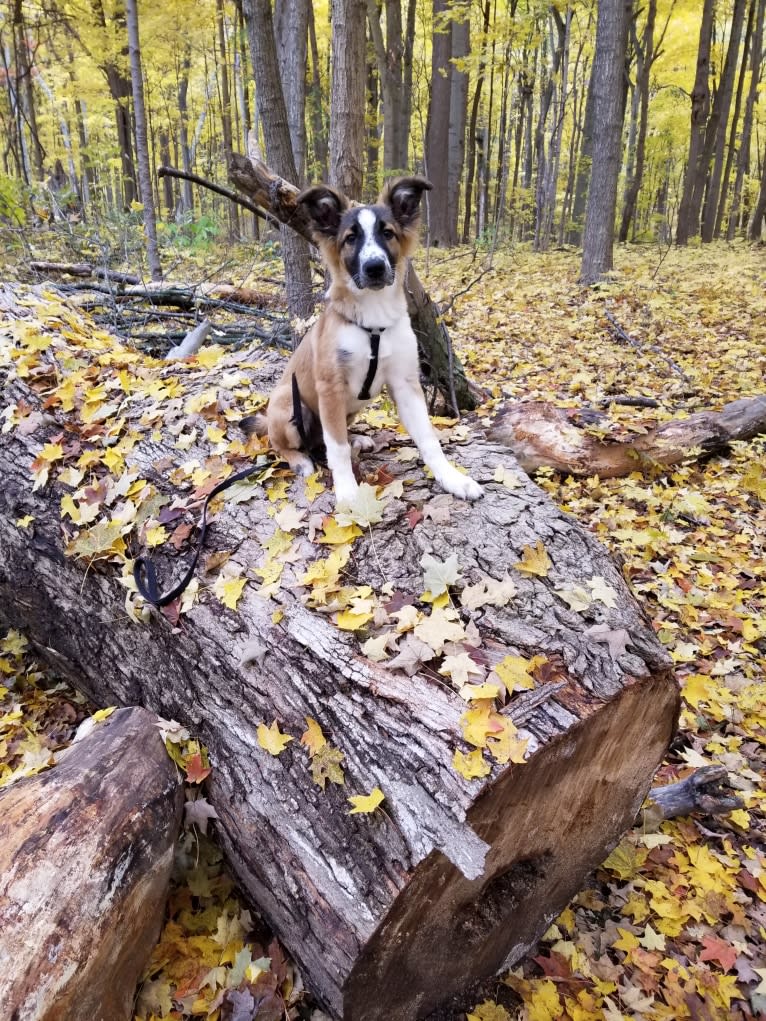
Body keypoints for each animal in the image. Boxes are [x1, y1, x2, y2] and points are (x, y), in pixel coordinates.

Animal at [261, 179, 482, 510]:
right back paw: (300, 460)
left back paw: (356, 439)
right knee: (283, 444)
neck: (374, 321)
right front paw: (347, 491)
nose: (375, 267)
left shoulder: (406, 383)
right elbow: (337, 448)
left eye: (387, 233)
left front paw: (452, 478)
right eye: (350, 238)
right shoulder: (330, 388)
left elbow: (429, 439)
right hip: (290, 401)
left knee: (326, 437)